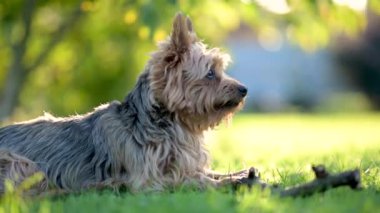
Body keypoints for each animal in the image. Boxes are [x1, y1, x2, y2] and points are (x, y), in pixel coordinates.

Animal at [0, 12, 248, 194]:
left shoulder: (185, 163)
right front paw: (230, 182)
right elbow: (193, 180)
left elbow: (208, 172)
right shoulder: (150, 180)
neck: (173, 124)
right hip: (20, 163)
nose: (244, 90)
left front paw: (243, 174)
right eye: (210, 73)